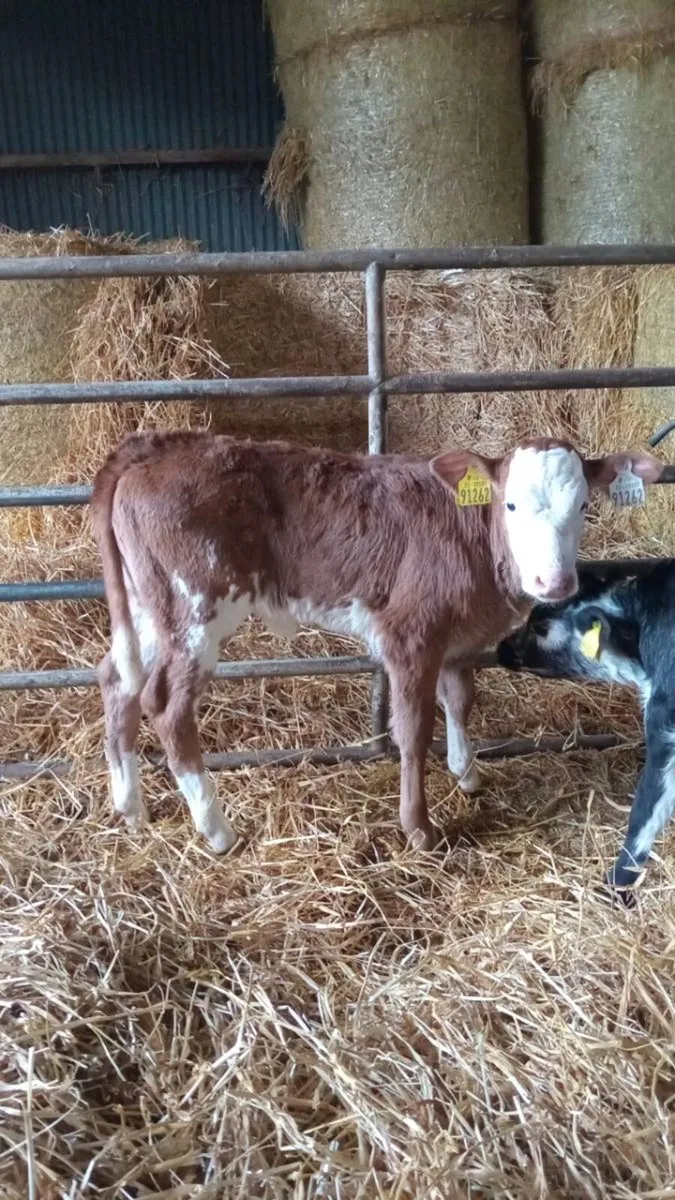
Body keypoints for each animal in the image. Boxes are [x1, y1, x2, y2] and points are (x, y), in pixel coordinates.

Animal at [91, 431, 662, 855]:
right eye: (512, 505)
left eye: (584, 505)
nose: (554, 582)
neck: (472, 538)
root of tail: (155, 448)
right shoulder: (410, 635)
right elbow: (413, 729)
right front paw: (420, 828)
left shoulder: (457, 638)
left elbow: (460, 700)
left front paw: (466, 774)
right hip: (196, 608)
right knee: (165, 705)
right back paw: (217, 830)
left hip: (149, 606)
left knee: (117, 679)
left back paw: (131, 807)